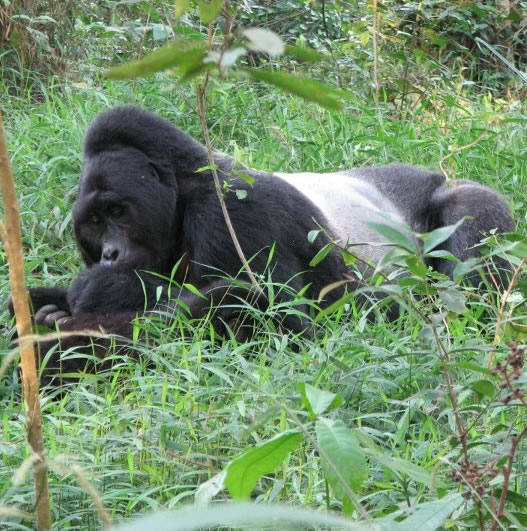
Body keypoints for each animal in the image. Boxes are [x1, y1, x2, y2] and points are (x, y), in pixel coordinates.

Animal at [11, 105, 516, 378]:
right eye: (95, 222)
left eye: (118, 212)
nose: (110, 254)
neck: (180, 190)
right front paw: (47, 311)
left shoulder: (232, 210)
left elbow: (275, 314)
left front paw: (76, 321)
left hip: (453, 200)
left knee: (468, 229)